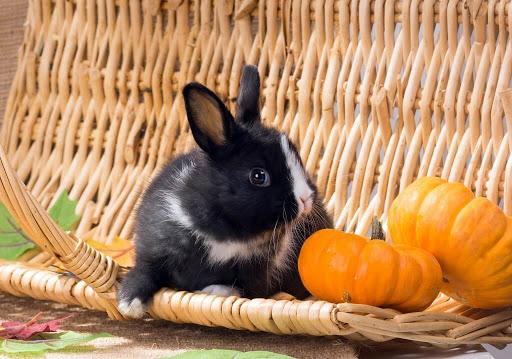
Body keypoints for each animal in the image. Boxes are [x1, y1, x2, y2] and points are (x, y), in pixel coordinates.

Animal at [117, 64, 332, 318]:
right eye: (258, 176)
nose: (306, 199)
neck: (227, 230)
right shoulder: (154, 245)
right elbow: (145, 270)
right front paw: (129, 304)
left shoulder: (256, 276)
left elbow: (237, 288)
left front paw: (212, 291)